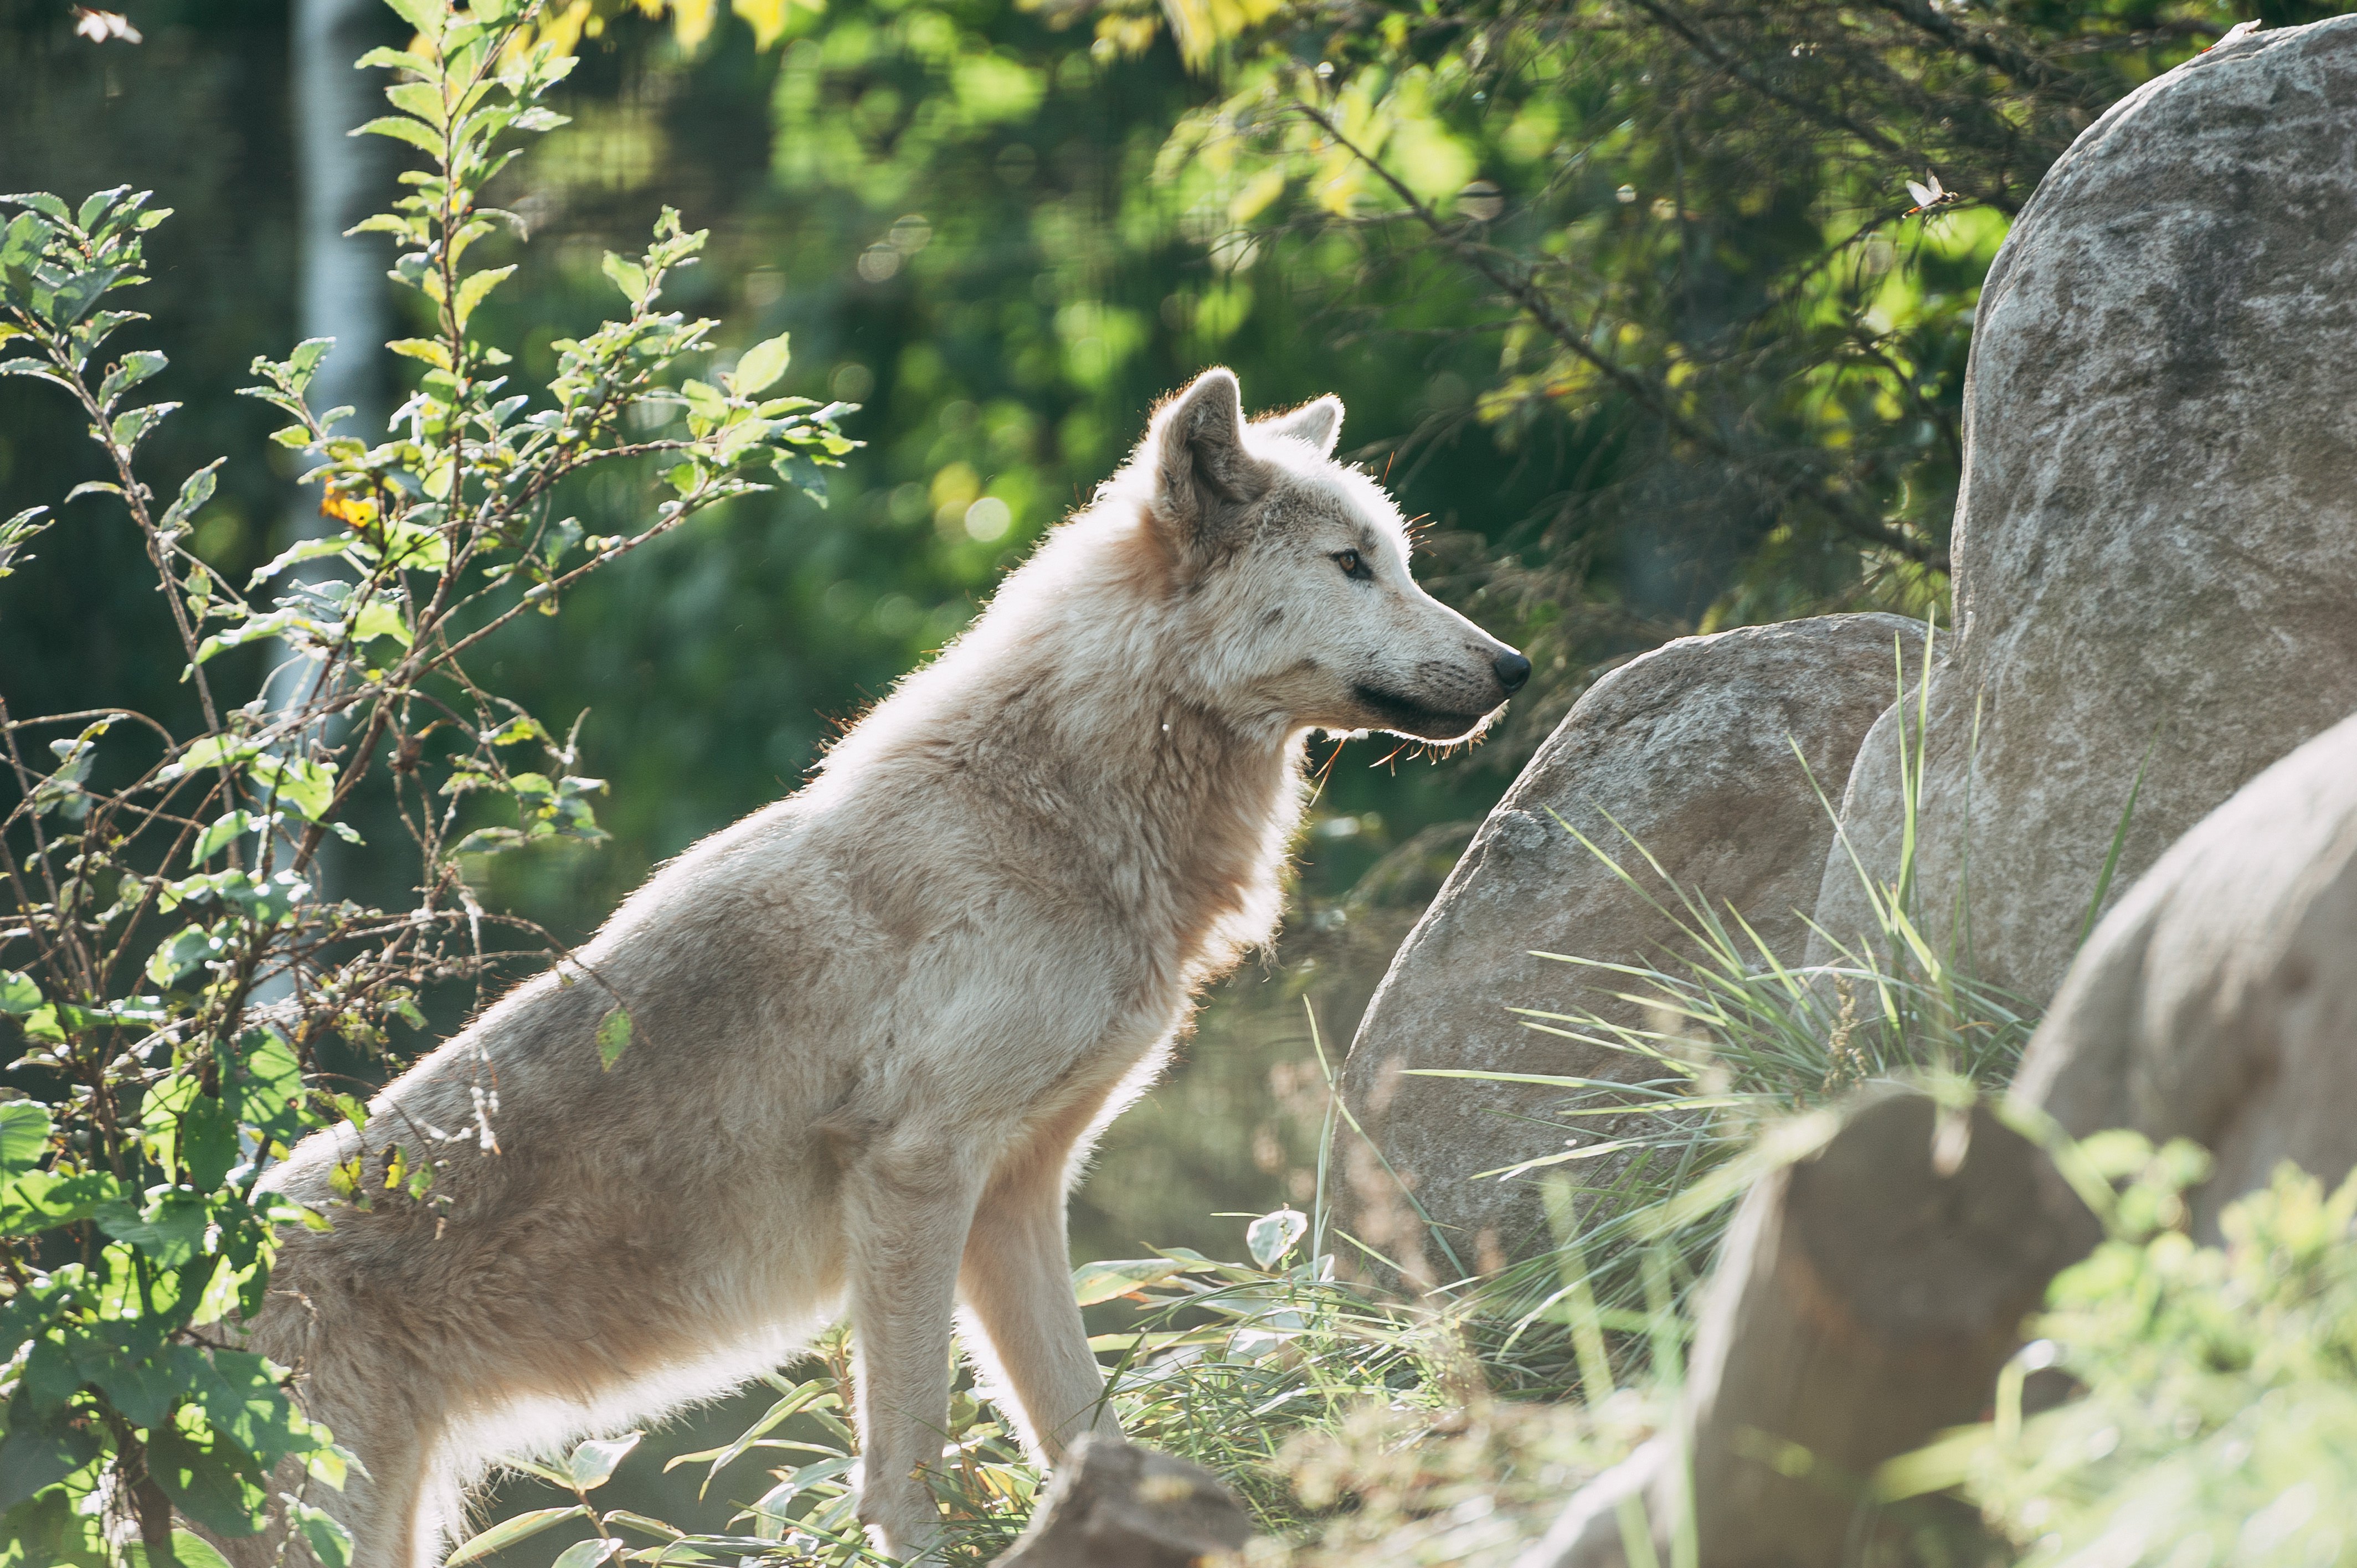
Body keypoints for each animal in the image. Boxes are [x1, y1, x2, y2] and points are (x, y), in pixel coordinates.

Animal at [244, 370, 1527, 1565]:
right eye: (1353, 565)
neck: (1052, 816)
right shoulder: (913, 1174)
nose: (1514, 665)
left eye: (1402, 563)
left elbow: (1077, 1421)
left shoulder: (1015, 1199)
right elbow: (907, 1452)